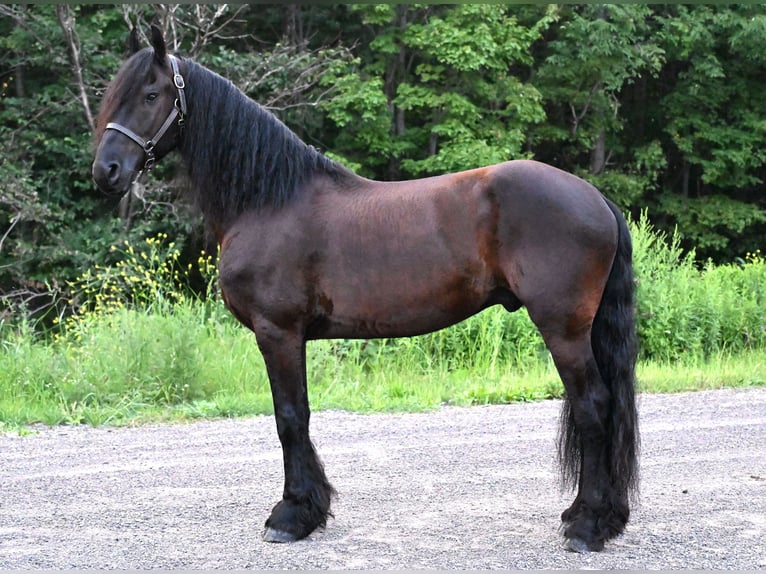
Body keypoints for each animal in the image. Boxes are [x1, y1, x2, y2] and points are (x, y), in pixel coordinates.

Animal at [92, 26, 639, 553]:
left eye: (150, 94)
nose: (106, 172)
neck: (270, 201)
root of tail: (595, 198)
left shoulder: (278, 332)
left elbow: (290, 418)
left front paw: (291, 516)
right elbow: (297, 416)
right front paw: (309, 509)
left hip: (563, 328)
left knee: (594, 407)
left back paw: (588, 526)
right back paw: (591, 515)